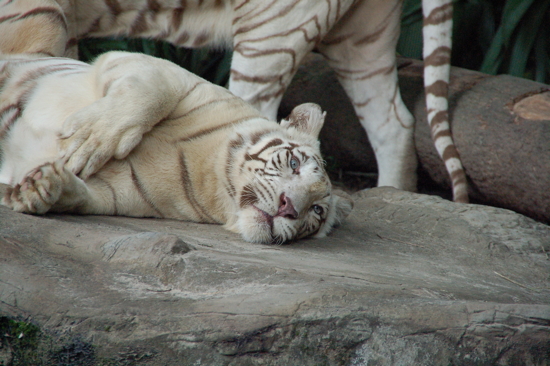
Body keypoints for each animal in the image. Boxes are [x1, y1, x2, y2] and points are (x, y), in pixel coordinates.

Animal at [0, 51, 354, 244]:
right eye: (294, 164)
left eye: (317, 210)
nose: (288, 207)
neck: (210, 174)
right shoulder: (152, 66)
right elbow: (155, 90)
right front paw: (87, 140)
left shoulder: (119, 194)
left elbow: (85, 196)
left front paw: (42, 187)